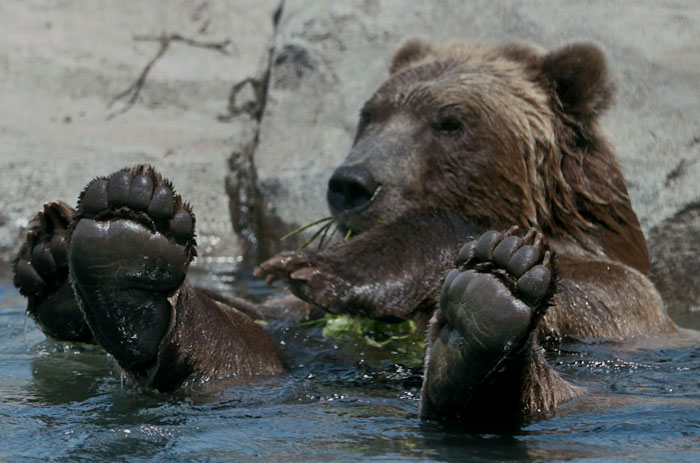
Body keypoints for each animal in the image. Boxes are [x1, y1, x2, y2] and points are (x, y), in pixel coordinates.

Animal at [12, 39, 678, 426]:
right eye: (370, 113)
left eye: (451, 122)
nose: (352, 182)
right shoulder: (289, 314)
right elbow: (274, 310)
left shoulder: (627, 302)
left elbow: (604, 288)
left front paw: (336, 269)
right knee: (232, 352)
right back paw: (118, 251)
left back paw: (488, 316)